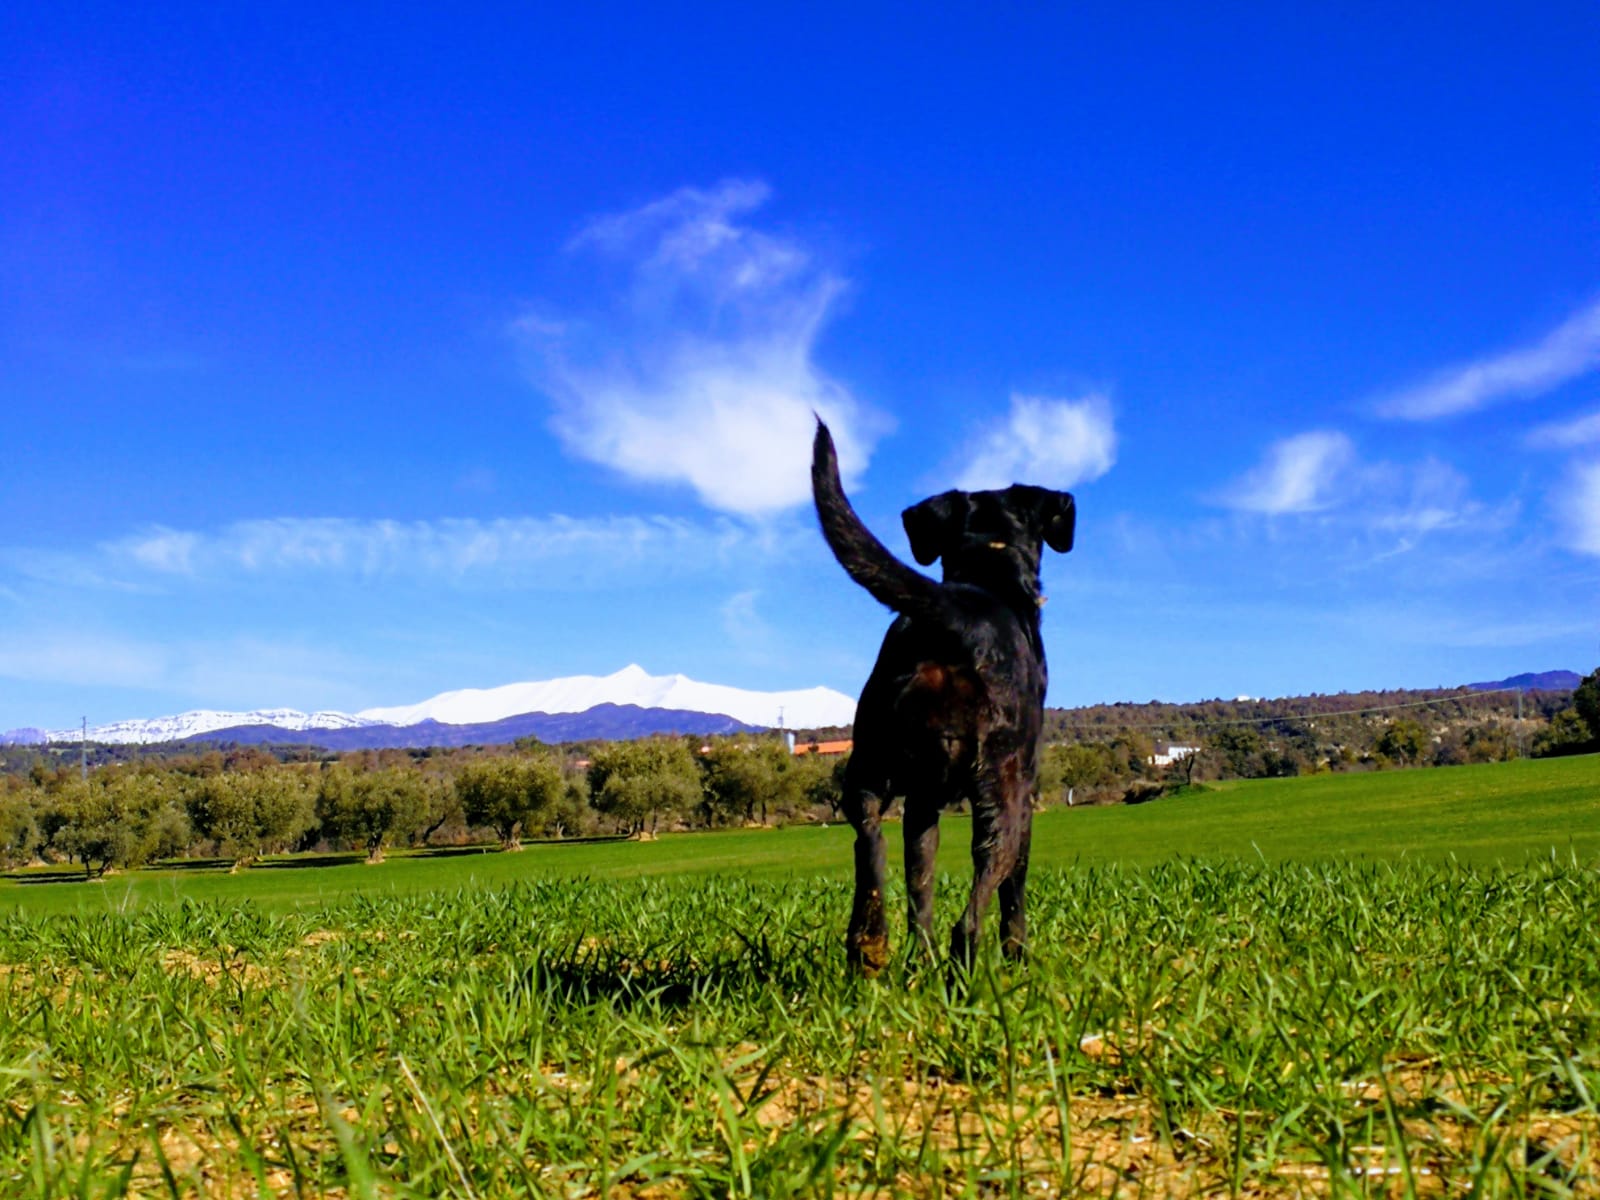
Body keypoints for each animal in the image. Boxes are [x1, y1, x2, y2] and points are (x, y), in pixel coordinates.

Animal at [812, 419, 1075, 972]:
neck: (987, 571)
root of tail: (954, 613)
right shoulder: (1028, 793)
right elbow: (1014, 892)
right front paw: (1018, 956)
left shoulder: (922, 805)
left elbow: (920, 884)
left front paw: (918, 953)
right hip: (1003, 788)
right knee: (975, 908)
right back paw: (964, 968)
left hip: (868, 768)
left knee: (870, 843)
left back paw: (871, 942)